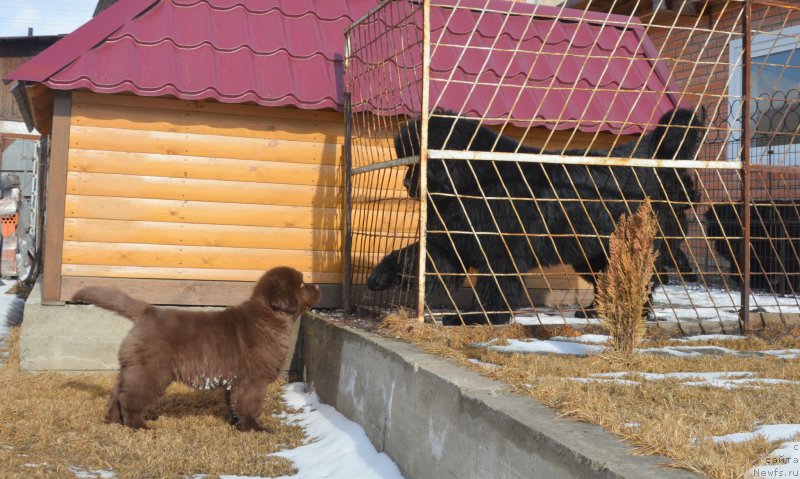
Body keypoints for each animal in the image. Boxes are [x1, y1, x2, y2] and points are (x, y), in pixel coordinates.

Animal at [69, 268, 318, 434]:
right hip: (151, 371)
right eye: (302, 284)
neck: (268, 318)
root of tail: (147, 312)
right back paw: (140, 426)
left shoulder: (235, 381)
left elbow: (234, 403)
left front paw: (236, 424)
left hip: (131, 367)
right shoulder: (253, 380)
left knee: (116, 394)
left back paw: (113, 422)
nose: (318, 286)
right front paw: (256, 428)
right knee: (128, 398)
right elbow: (250, 406)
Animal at [368, 109, 700, 326]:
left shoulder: (501, 251)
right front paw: (379, 275)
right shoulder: (452, 243)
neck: (474, 180)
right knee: (605, 280)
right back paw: (594, 311)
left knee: (638, 280)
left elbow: (495, 286)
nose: (405, 183)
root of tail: (655, 153)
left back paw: (631, 312)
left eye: (416, 161)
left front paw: (479, 317)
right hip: (593, 252)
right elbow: (413, 255)